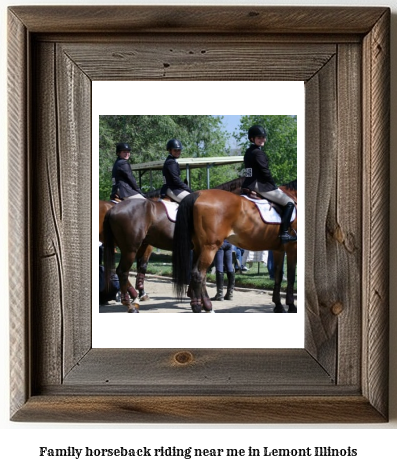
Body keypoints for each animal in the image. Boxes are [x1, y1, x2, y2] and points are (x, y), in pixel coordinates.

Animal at [172, 184, 296, 314]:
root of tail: (198, 194)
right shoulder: (293, 247)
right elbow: (291, 276)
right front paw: (291, 306)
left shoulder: (279, 250)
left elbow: (278, 276)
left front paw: (279, 305)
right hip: (210, 247)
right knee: (198, 274)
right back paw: (200, 307)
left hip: (199, 247)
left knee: (201, 275)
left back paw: (204, 305)